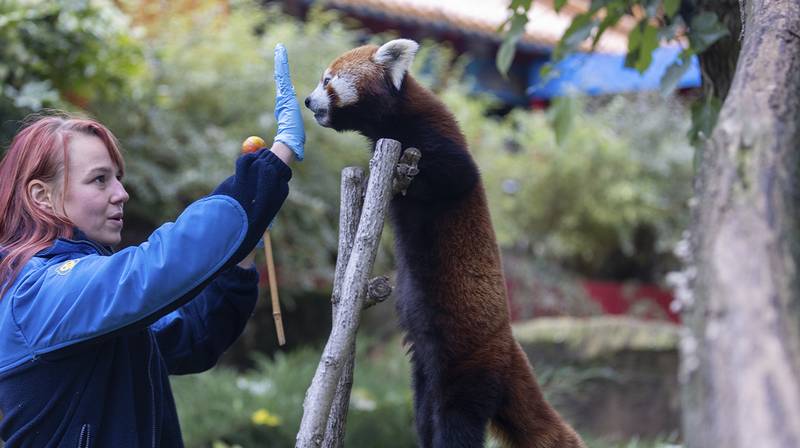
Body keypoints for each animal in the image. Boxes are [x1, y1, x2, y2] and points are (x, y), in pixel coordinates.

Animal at [305, 39, 585, 448]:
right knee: (425, 415)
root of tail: (509, 345)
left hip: (468, 363)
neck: (396, 119)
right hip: (423, 368)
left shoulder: (439, 139)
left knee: (457, 421)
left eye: (327, 80)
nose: (308, 100)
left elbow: (455, 174)